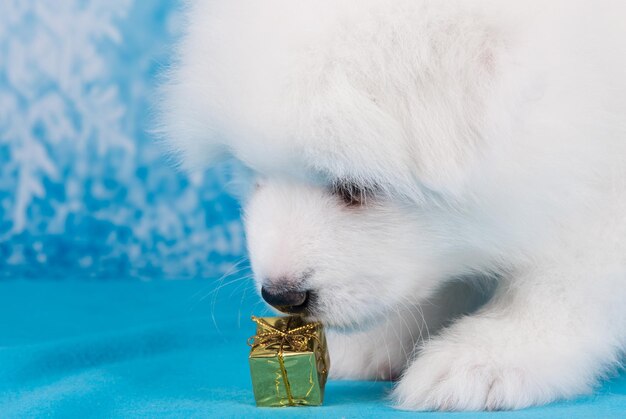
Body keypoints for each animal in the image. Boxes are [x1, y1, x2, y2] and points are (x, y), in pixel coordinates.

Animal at [158, 0, 624, 412]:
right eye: (254, 174)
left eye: (354, 187)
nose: (282, 296)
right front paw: (374, 340)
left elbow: (562, 283)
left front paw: (487, 356)